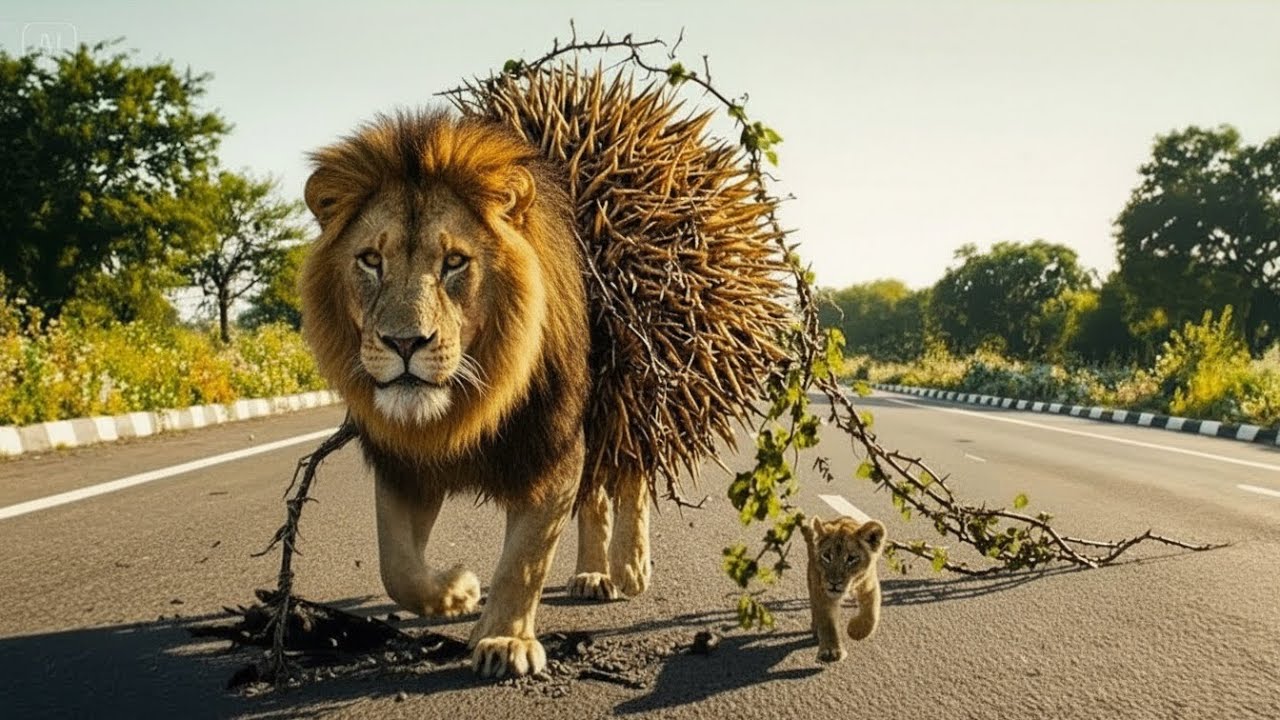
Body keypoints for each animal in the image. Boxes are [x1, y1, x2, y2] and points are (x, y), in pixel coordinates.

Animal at [299, 110, 651, 679]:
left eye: (455, 262)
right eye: (371, 259)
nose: (404, 343)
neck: (468, 403)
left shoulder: (552, 447)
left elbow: (524, 560)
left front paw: (504, 640)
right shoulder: (406, 463)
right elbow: (395, 565)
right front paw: (458, 592)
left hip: (635, 393)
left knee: (632, 472)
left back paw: (627, 566)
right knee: (597, 494)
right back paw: (592, 576)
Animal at [799, 515, 886, 662]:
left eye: (851, 558)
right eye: (826, 556)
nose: (834, 583)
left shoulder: (869, 585)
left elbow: (872, 614)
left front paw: (855, 630)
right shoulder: (822, 590)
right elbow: (827, 619)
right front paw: (830, 651)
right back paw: (815, 628)